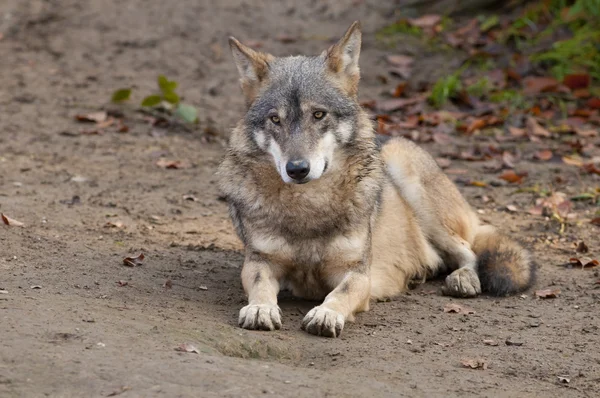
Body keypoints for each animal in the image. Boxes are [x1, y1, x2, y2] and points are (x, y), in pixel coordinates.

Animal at [216, 21, 536, 338]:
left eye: (318, 115)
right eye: (275, 119)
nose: (297, 169)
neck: (309, 206)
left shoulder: (358, 272)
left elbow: (341, 293)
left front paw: (326, 314)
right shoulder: (260, 261)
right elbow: (260, 285)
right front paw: (260, 309)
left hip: (407, 175)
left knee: (469, 251)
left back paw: (463, 279)